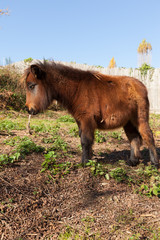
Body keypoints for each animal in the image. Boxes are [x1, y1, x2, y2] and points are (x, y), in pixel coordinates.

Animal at [22, 61, 159, 168]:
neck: (77, 90)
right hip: (128, 122)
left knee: (148, 135)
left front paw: (84, 163)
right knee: (134, 138)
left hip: (140, 118)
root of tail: (141, 86)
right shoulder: (80, 121)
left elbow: (85, 140)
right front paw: (89, 159)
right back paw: (133, 161)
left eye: (31, 86)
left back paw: (154, 163)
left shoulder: (86, 119)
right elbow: (85, 140)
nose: (28, 109)